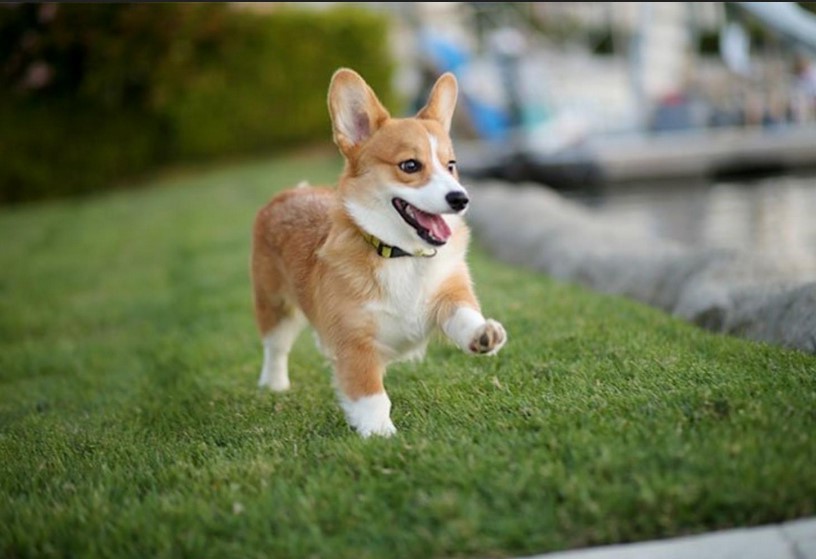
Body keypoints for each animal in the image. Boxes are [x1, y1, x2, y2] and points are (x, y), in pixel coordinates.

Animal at [250, 69, 504, 438]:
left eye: (451, 165)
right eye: (410, 165)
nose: (461, 199)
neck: (400, 255)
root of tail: (288, 194)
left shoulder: (448, 293)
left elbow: (463, 314)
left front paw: (482, 334)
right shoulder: (355, 344)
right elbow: (370, 395)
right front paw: (380, 435)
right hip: (275, 305)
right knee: (276, 347)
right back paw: (274, 385)